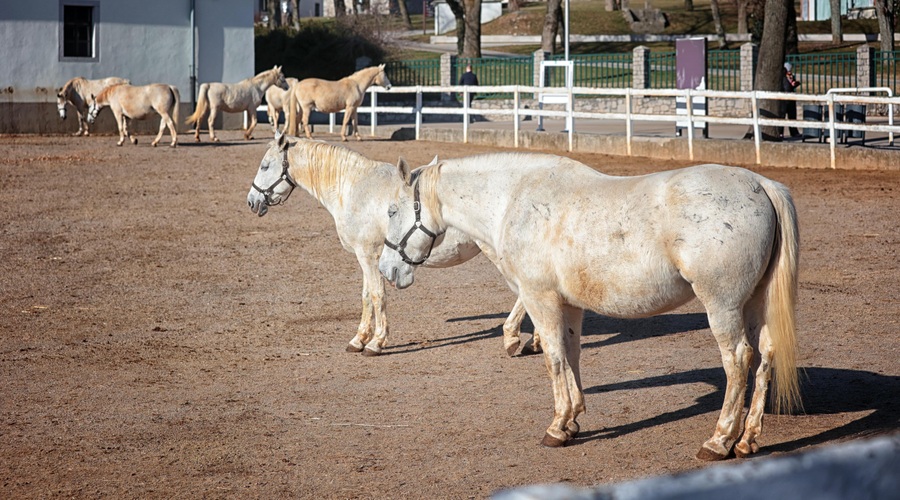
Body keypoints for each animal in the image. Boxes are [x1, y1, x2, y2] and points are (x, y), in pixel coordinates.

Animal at [243, 134, 532, 356]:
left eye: (265, 166)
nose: (252, 201)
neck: (354, 188)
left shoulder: (368, 255)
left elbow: (377, 296)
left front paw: (376, 342)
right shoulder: (365, 258)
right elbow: (365, 297)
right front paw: (358, 339)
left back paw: (512, 337)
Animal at [380, 151, 800, 460]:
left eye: (391, 211)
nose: (386, 269)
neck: (514, 201)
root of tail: (761, 185)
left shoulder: (540, 298)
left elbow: (552, 357)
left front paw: (557, 426)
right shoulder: (569, 305)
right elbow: (571, 354)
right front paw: (572, 420)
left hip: (723, 306)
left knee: (738, 361)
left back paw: (720, 440)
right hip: (755, 304)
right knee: (765, 357)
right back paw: (747, 439)